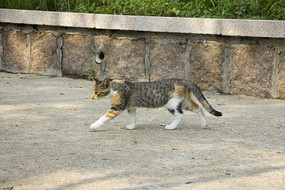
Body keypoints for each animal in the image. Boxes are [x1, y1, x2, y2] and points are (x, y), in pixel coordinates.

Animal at [90, 77, 221, 131]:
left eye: (97, 92)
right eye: (92, 92)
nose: (92, 97)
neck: (116, 88)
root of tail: (184, 80)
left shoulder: (116, 108)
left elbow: (103, 117)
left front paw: (94, 126)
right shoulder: (131, 107)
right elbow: (132, 117)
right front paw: (132, 126)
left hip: (171, 103)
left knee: (180, 114)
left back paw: (171, 126)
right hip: (185, 102)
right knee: (199, 108)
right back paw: (204, 124)